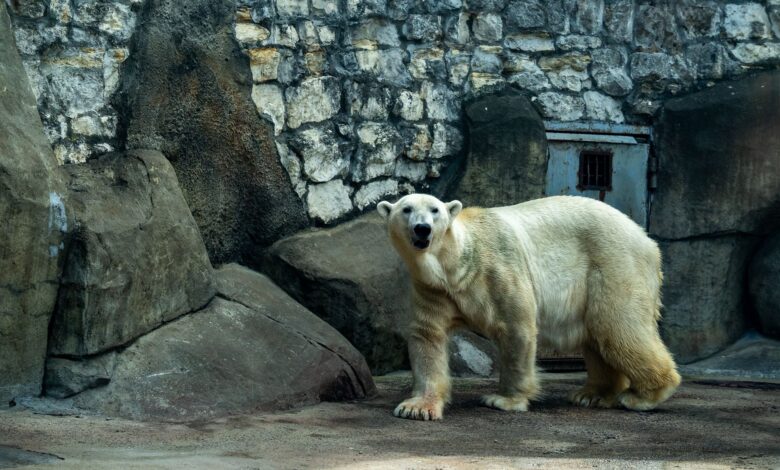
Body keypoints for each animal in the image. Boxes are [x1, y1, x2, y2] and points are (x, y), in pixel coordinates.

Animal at [377, 193, 681, 421]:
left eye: (435, 210)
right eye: (406, 209)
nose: (422, 228)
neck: (456, 265)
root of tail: (647, 239)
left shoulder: (498, 269)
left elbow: (515, 326)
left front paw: (503, 400)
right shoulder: (434, 289)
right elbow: (428, 336)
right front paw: (417, 407)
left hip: (613, 263)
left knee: (617, 326)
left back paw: (643, 395)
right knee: (599, 334)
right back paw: (591, 394)